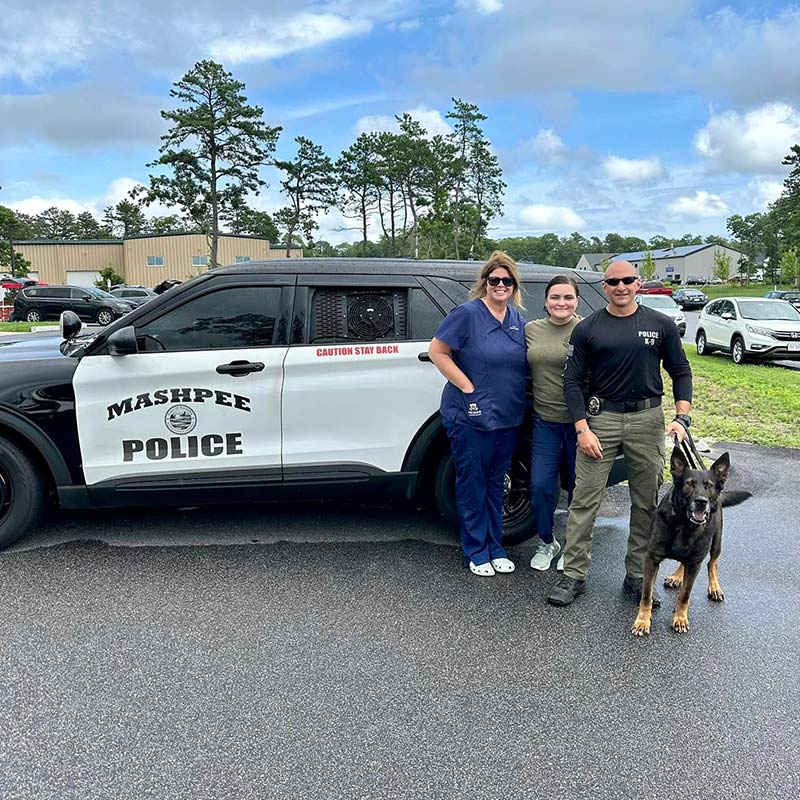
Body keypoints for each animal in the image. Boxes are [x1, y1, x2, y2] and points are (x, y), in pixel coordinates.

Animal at [632, 446, 752, 636]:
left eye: (709, 486)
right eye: (689, 483)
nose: (701, 502)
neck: (683, 524)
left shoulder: (695, 563)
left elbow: (685, 595)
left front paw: (680, 618)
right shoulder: (652, 558)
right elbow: (646, 594)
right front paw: (642, 621)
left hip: (716, 542)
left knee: (712, 563)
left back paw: (714, 587)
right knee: (684, 562)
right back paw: (677, 577)